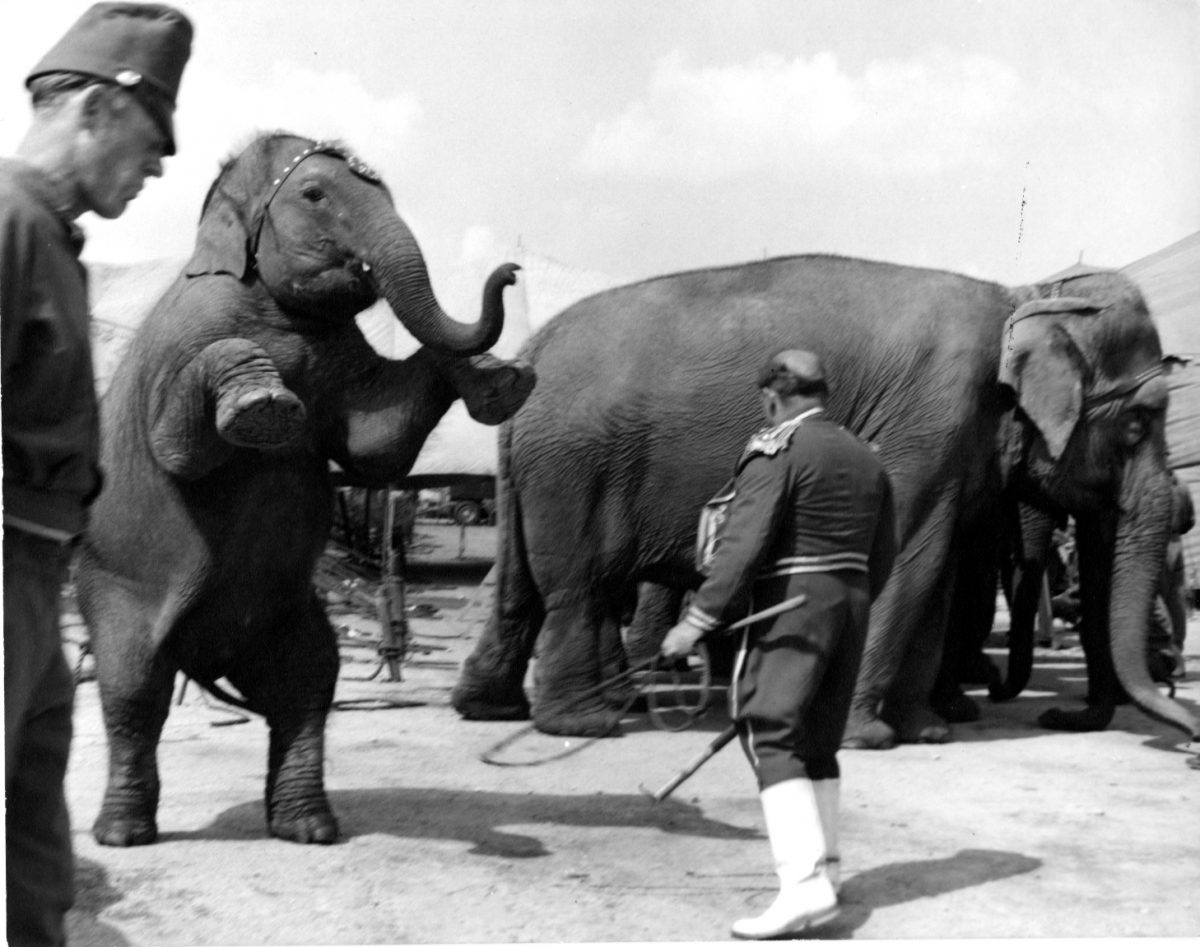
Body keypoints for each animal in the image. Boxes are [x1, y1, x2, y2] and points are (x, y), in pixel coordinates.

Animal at [76, 132, 535, 846]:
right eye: (314, 193)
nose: (511, 270)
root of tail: (207, 661)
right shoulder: (182, 342)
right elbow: (177, 451)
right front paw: (263, 402)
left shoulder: (341, 349)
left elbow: (376, 447)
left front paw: (505, 382)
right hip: (111, 588)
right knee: (133, 690)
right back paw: (124, 835)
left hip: (289, 613)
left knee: (308, 683)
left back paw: (309, 826)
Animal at [450, 254, 1200, 749]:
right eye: (1140, 423)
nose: (1057, 716)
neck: (1026, 297)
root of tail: (530, 351)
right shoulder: (931, 419)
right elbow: (908, 560)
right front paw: (867, 735)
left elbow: (938, 571)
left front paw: (925, 730)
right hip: (572, 469)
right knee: (576, 587)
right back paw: (586, 721)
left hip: (533, 469)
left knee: (520, 583)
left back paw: (491, 709)